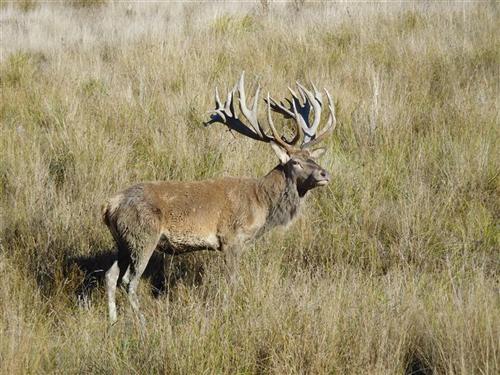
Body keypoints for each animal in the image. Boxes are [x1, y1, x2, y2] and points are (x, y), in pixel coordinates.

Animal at [102, 72, 336, 324]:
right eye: (295, 162)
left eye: (312, 157)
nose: (324, 174)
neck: (261, 202)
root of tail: (109, 207)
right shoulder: (231, 238)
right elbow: (232, 281)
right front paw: (231, 311)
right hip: (143, 236)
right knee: (128, 280)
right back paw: (142, 323)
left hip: (123, 241)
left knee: (110, 274)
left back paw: (113, 320)